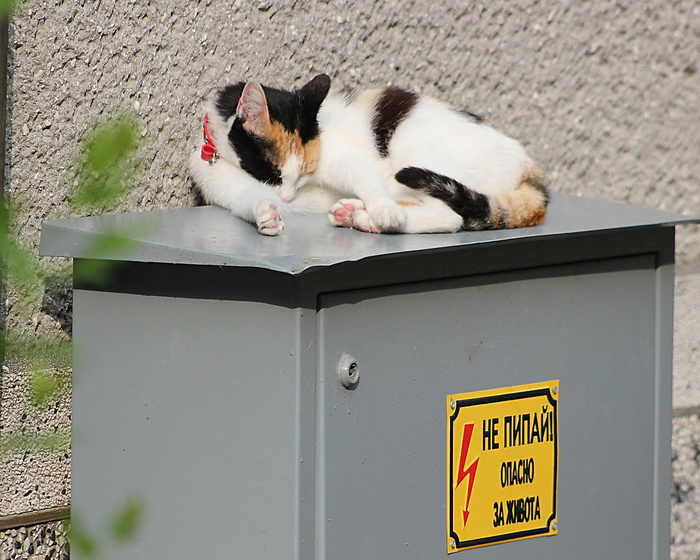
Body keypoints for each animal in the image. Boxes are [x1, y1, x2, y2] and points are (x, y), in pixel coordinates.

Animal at [189, 73, 548, 235]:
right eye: (274, 175)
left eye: (303, 174)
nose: (288, 197)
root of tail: (528, 167)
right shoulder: (231, 190)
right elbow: (250, 202)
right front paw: (267, 215)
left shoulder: (340, 159)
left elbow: (364, 176)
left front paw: (384, 211)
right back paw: (352, 213)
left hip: (416, 151)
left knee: (450, 216)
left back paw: (370, 216)